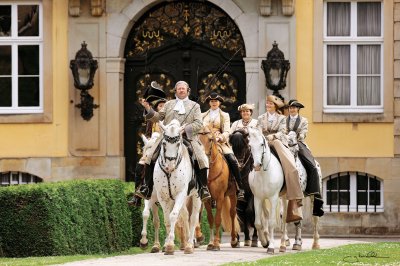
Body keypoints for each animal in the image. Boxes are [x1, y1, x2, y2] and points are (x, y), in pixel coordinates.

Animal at [154, 119, 202, 255]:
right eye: (164, 143)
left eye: (178, 143)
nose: (170, 165)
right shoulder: (163, 196)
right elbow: (166, 219)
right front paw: (167, 245)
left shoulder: (181, 193)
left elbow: (173, 215)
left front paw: (170, 245)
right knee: (185, 215)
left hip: (196, 196)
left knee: (193, 218)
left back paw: (190, 245)